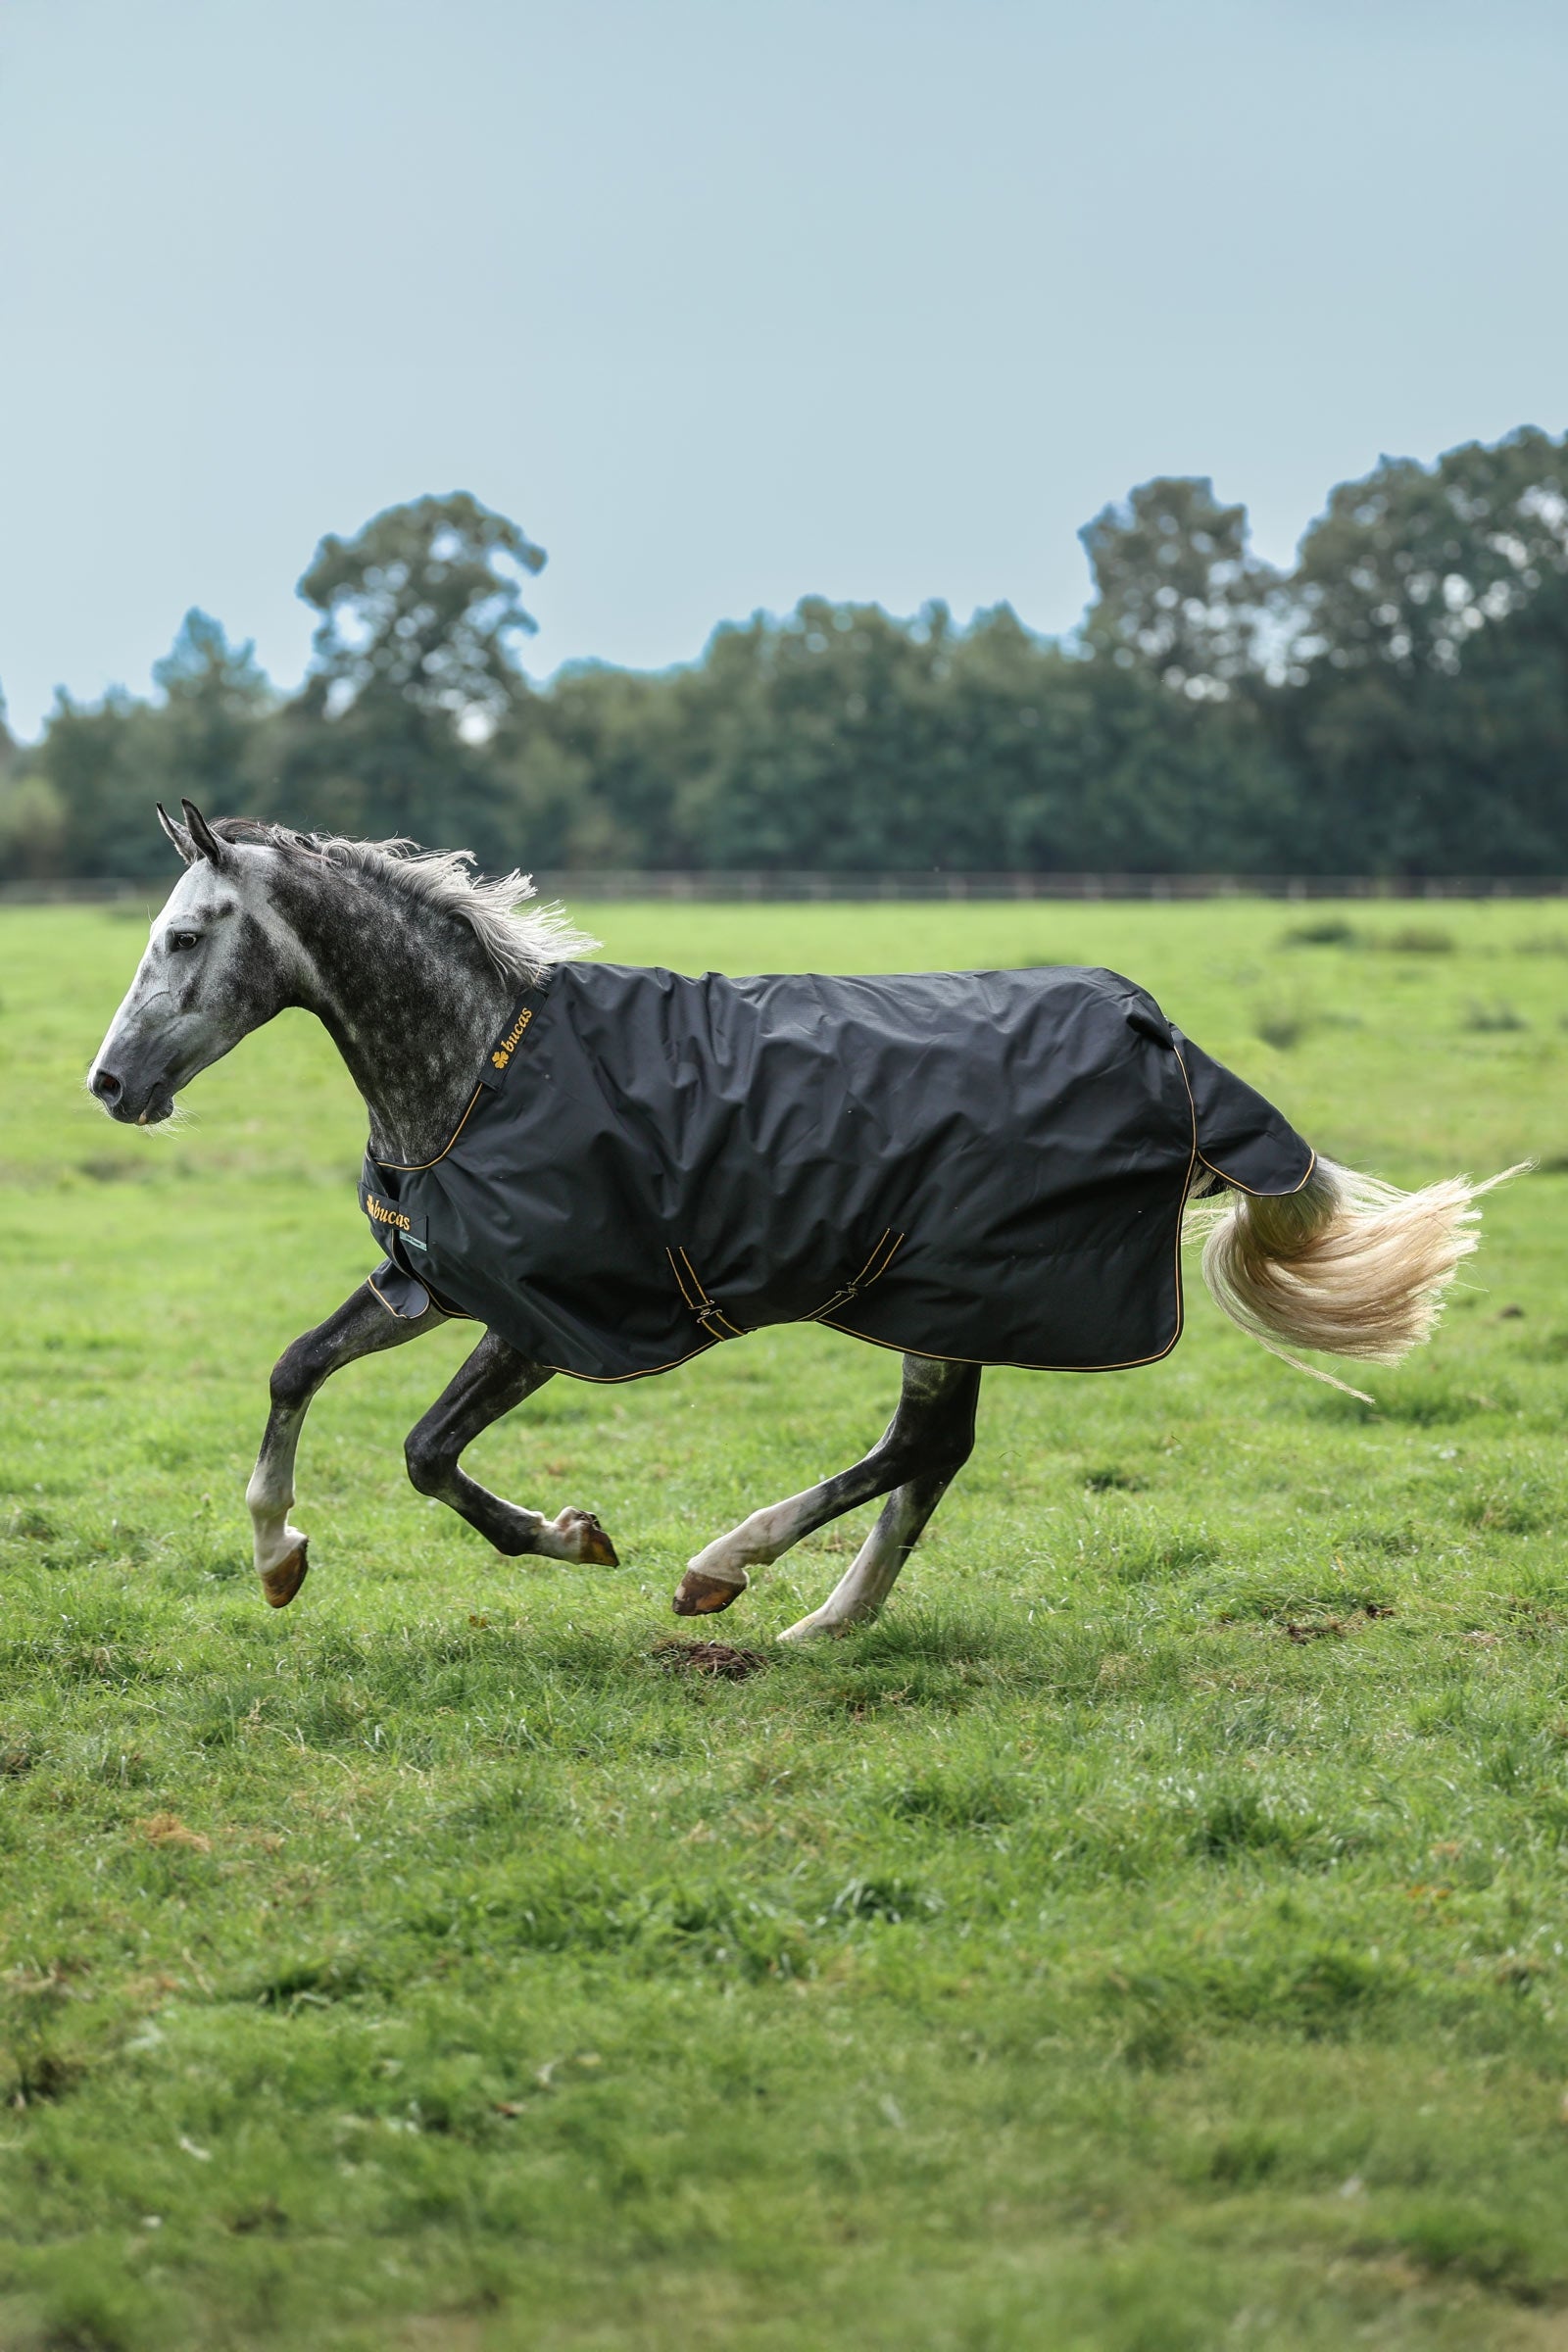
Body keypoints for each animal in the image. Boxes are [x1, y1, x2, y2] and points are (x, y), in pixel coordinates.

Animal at [88, 801, 1497, 1644]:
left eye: (186, 935)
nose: (110, 1085)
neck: (482, 1066)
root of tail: (1175, 1051)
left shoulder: (549, 1315)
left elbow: (429, 1453)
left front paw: (572, 1537)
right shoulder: (434, 1280)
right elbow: (294, 1370)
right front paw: (278, 1556)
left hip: (948, 1291)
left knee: (921, 1447)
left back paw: (730, 1568)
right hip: (946, 1299)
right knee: (935, 1455)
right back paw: (829, 1617)